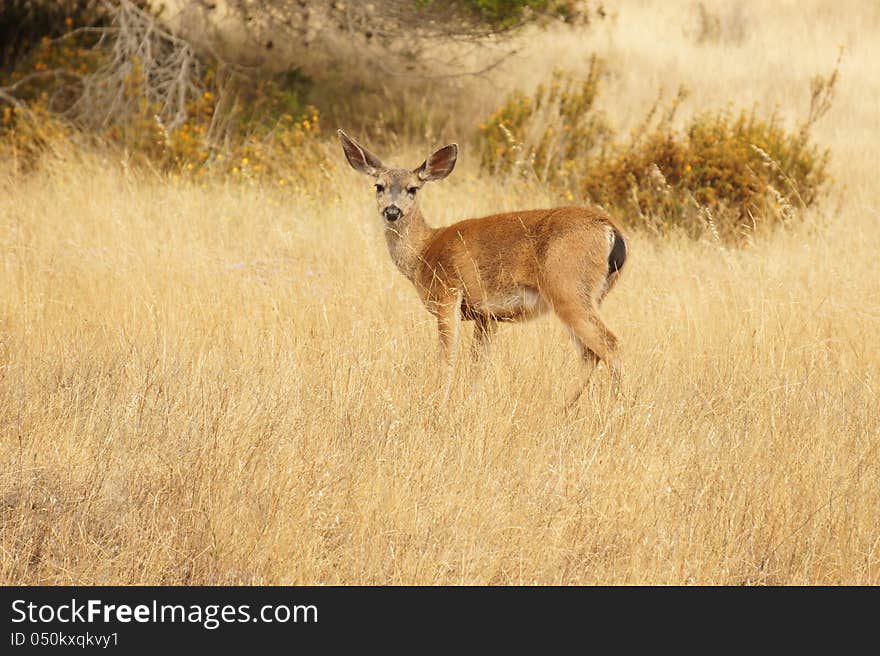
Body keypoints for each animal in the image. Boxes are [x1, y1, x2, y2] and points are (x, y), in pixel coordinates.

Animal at [336, 128, 624, 404]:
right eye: (378, 186)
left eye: (413, 189)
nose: (392, 211)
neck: (423, 251)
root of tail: (611, 230)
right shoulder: (487, 316)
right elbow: (478, 366)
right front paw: (468, 401)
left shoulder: (447, 292)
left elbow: (448, 357)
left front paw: (437, 404)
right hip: (586, 295)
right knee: (590, 353)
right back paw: (561, 407)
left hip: (566, 286)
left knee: (610, 344)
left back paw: (616, 407)